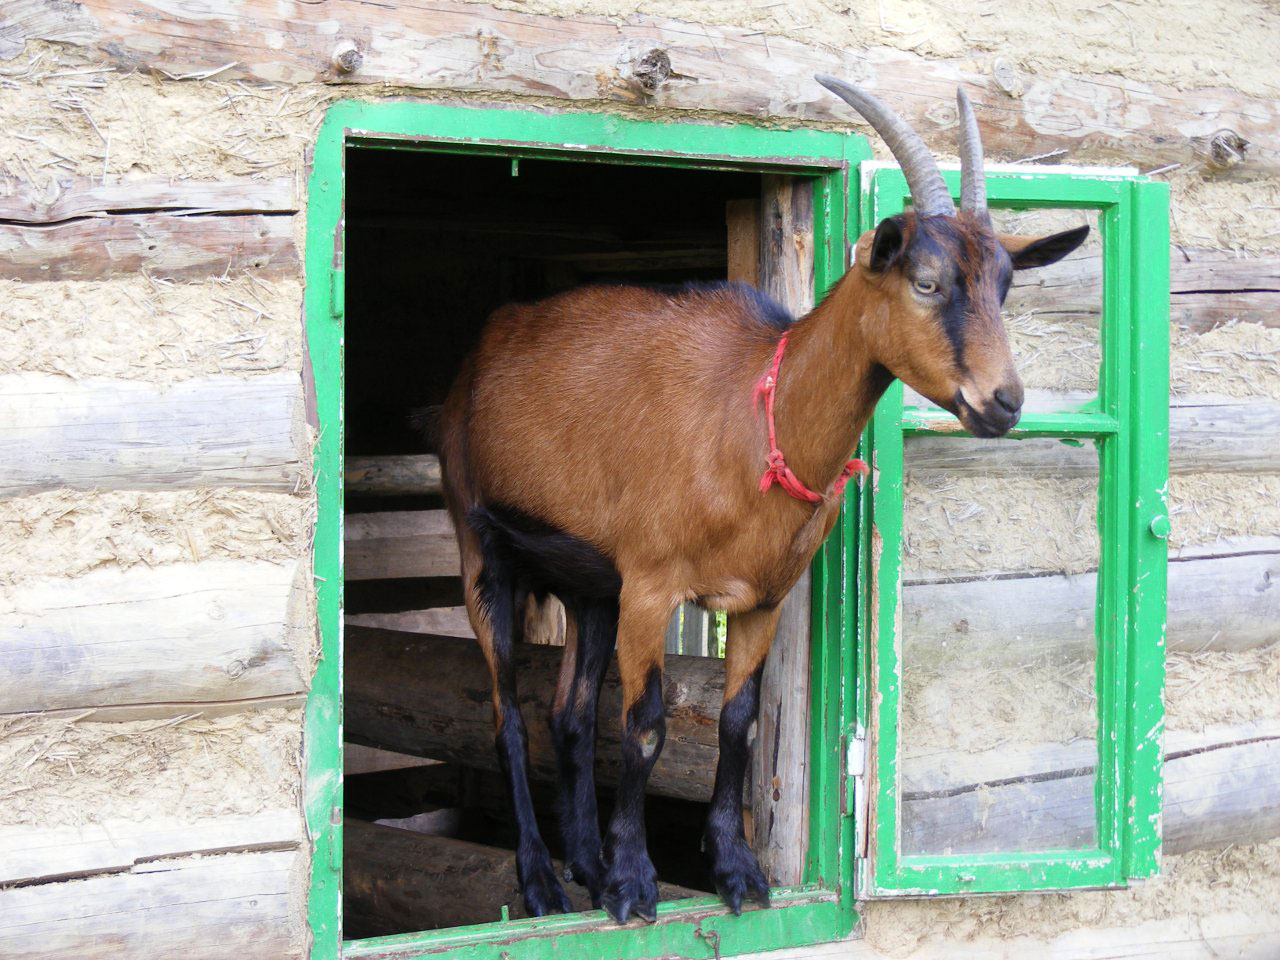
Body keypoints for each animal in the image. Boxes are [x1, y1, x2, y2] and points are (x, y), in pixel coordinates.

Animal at [440, 79, 1090, 926]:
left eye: (1005, 287)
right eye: (926, 281)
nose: (1004, 403)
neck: (757, 418)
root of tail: (485, 351)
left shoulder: (762, 598)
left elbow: (739, 725)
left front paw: (737, 870)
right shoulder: (651, 585)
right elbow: (644, 728)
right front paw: (633, 885)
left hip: (588, 585)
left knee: (569, 717)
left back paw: (581, 860)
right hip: (480, 542)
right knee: (509, 719)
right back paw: (543, 881)